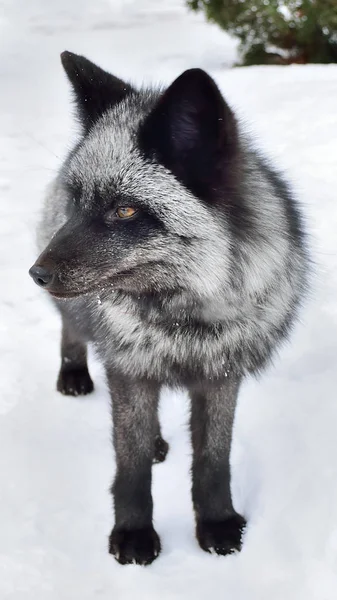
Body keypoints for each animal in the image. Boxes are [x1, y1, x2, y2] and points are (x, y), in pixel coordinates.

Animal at [28, 50, 308, 564]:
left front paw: (217, 524)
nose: (35, 274)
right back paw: (74, 374)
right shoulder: (129, 367)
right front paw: (133, 534)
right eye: (78, 202)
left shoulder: (221, 374)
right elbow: (131, 461)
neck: (183, 317)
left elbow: (215, 459)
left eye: (124, 210)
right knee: (72, 332)